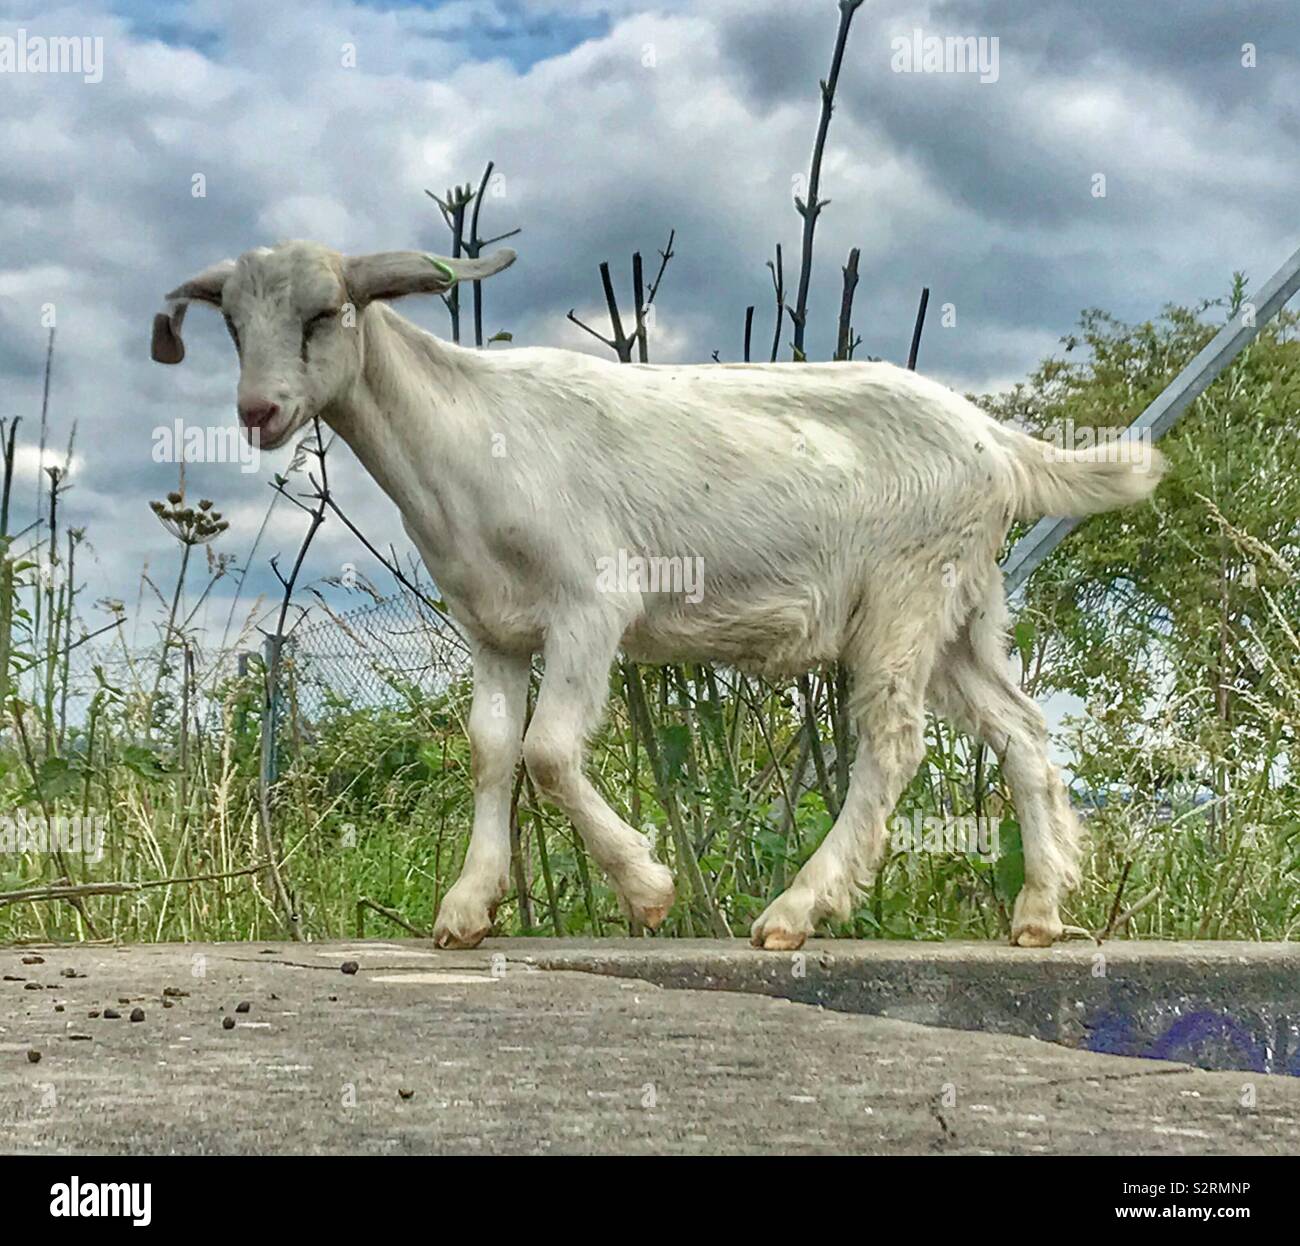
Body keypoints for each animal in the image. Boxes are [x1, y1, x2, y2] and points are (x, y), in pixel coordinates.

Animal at [152, 241, 1163, 950]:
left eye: (326, 312)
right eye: (231, 325)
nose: (259, 413)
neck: (465, 431)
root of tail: (998, 442)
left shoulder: (591, 601)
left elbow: (548, 753)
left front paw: (647, 890)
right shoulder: (494, 627)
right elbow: (491, 753)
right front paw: (468, 907)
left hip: (905, 594)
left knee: (893, 742)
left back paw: (797, 909)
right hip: (962, 609)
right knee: (1021, 732)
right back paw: (1038, 912)